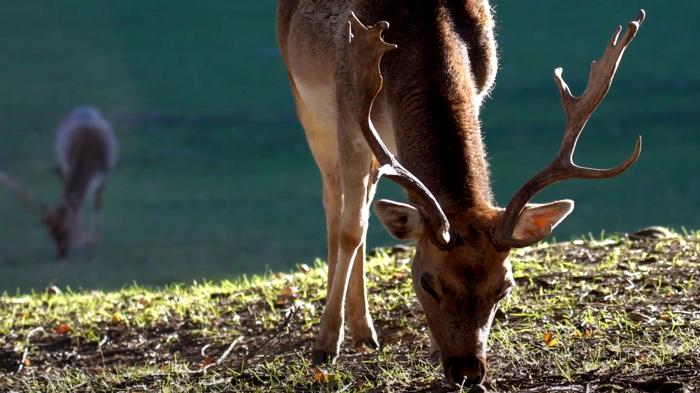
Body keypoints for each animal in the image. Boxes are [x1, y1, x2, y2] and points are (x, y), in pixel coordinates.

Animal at [0, 105, 117, 258]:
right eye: (50, 233)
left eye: (63, 229)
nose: (62, 253)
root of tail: (83, 106)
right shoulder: (67, 166)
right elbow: (74, 203)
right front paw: (82, 241)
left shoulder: (104, 174)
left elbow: (96, 204)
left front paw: (94, 241)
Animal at [278, 0, 644, 386]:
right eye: (426, 283)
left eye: (504, 287)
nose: (468, 371)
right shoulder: (350, 113)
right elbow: (352, 228)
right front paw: (325, 343)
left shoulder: (478, 91)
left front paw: (430, 348)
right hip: (307, 103)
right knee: (336, 203)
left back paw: (365, 332)